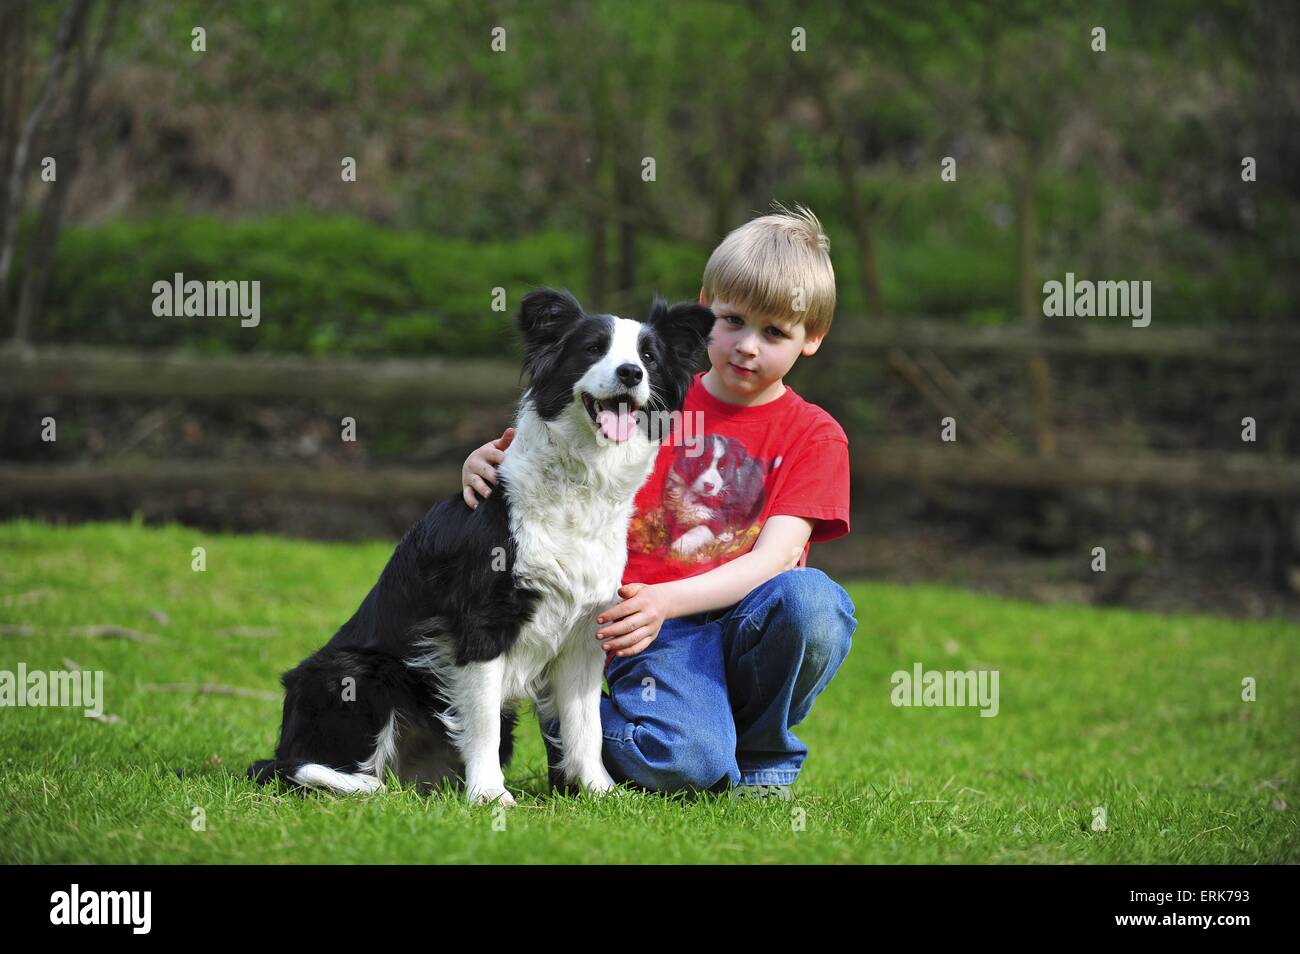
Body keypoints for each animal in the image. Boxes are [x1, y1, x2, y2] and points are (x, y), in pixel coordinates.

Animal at [248, 289, 717, 805]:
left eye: (648, 357)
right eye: (594, 348)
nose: (631, 373)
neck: (579, 482)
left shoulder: (584, 633)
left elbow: (585, 726)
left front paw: (600, 792)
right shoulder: (480, 625)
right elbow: (483, 721)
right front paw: (490, 796)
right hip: (354, 671)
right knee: (294, 766)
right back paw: (363, 783)